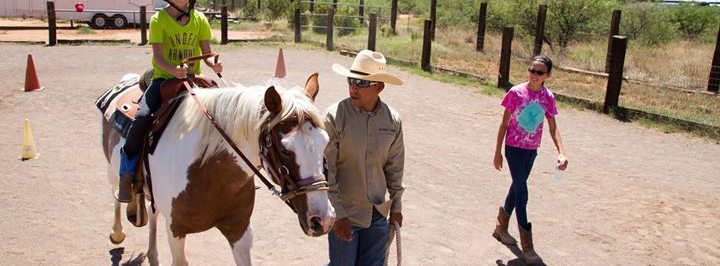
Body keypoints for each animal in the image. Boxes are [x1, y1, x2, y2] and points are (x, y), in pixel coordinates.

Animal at [97, 71, 336, 264]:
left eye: (325, 142)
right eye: (285, 149)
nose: (322, 219)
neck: (209, 171)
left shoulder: (239, 229)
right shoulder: (175, 230)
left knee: (152, 212)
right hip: (112, 170)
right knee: (116, 193)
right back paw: (117, 232)